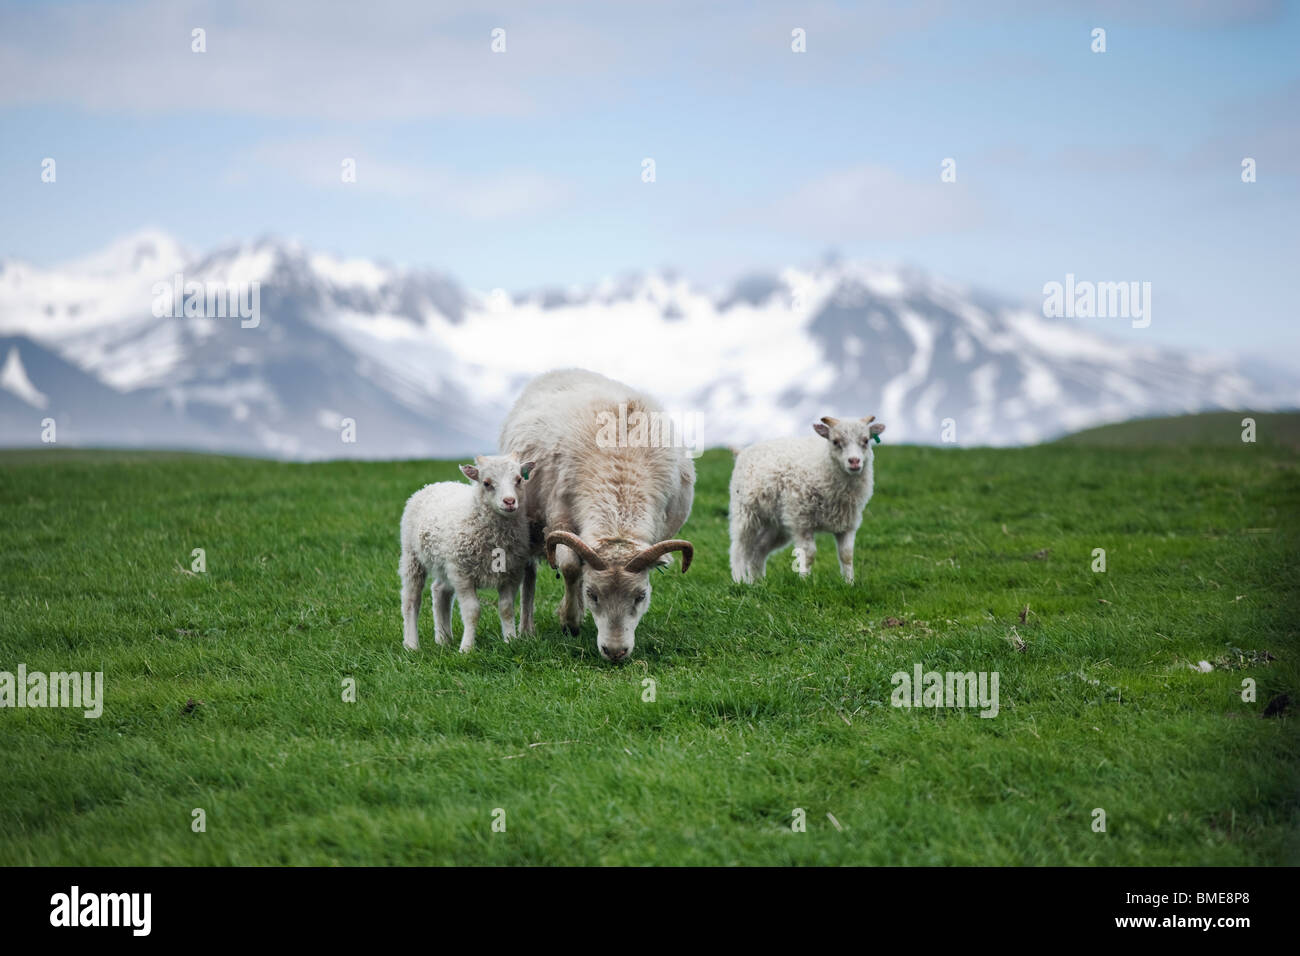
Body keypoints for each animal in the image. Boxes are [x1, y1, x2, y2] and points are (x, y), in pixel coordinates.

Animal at [397, 455, 535, 650]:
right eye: (486, 483)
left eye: (519, 479)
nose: (509, 501)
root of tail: (435, 484)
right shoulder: (462, 575)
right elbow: (472, 611)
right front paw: (467, 648)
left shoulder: (512, 574)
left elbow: (507, 608)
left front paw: (510, 640)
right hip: (412, 556)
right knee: (411, 599)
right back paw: (411, 644)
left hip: (446, 563)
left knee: (439, 591)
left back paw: (444, 639)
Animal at [499, 369, 702, 660]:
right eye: (593, 594)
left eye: (641, 596)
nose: (615, 652)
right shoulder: (560, 519)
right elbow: (571, 568)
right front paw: (569, 620)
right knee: (530, 574)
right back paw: (527, 629)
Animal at [728, 416, 889, 582]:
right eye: (835, 441)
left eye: (866, 440)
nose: (854, 461)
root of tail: (742, 451)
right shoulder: (801, 521)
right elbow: (809, 554)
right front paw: (804, 581)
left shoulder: (847, 524)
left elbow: (847, 555)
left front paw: (849, 583)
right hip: (745, 513)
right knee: (739, 549)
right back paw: (740, 580)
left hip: (777, 524)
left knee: (759, 548)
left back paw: (758, 582)